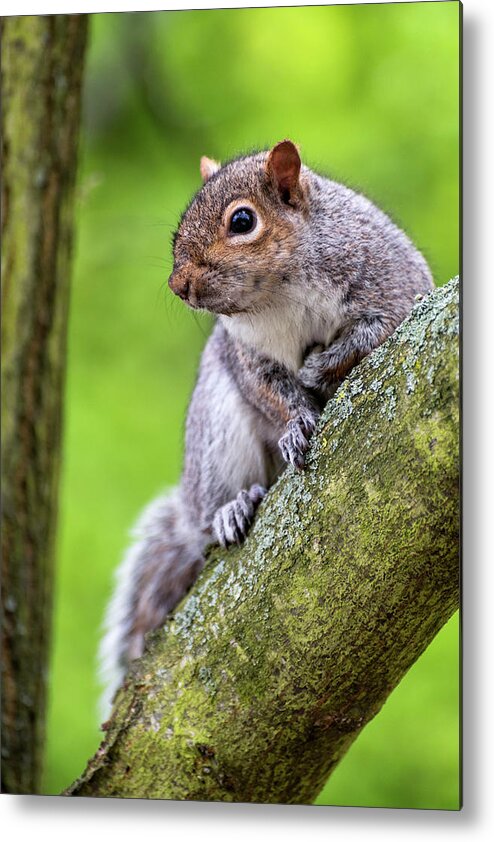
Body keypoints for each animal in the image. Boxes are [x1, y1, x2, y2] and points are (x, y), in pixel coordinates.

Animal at [99, 138, 432, 708]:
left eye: (242, 221)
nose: (178, 284)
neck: (282, 292)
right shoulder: (247, 356)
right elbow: (272, 392)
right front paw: (297, 422)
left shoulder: (391, 285)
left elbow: (375, 332)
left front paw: (321, 366)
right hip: (215, 435)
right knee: (208, 518)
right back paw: (231, 509)